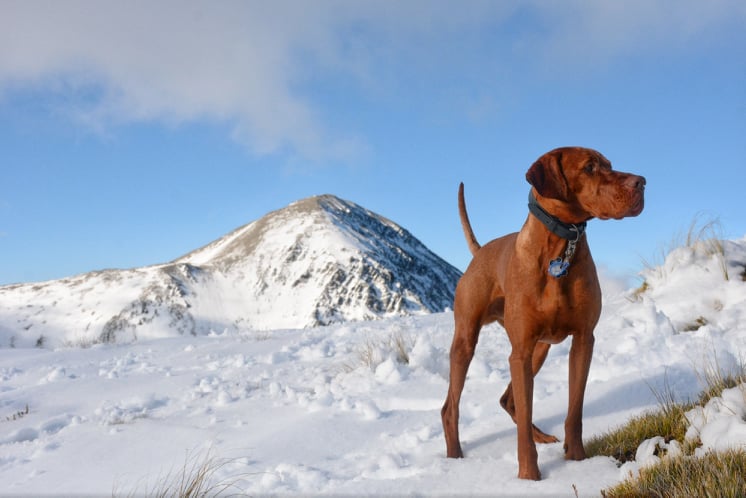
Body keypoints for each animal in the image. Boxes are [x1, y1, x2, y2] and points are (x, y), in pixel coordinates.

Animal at [438, 146, 644, 480]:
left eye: (609, 164)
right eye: (589, 167)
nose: (642, 182)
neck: (560, 246)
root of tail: (480, 252)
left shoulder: (583, 341)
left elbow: (574, 411)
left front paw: (577, 461)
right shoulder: (520, 351)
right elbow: (524, 421)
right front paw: (529, 477)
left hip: (541, 349)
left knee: (509, 400)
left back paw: (541, 436)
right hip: (466, 342)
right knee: (451, 408)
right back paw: (455, 458)